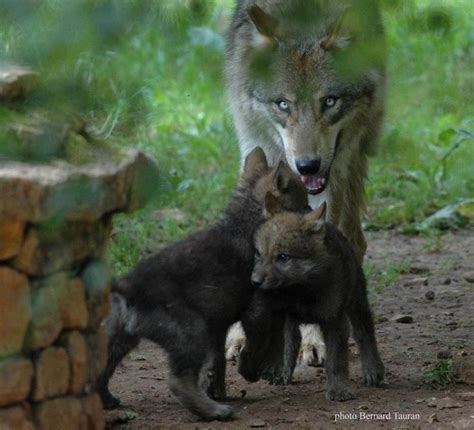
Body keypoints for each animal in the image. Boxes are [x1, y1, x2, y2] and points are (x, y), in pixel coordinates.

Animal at [225, 0, 386, 372]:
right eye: (283, 104)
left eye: (329, 101)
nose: (307, 166)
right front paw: (240, 335)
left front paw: (314, 339)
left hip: (352, 161)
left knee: (355, 240)